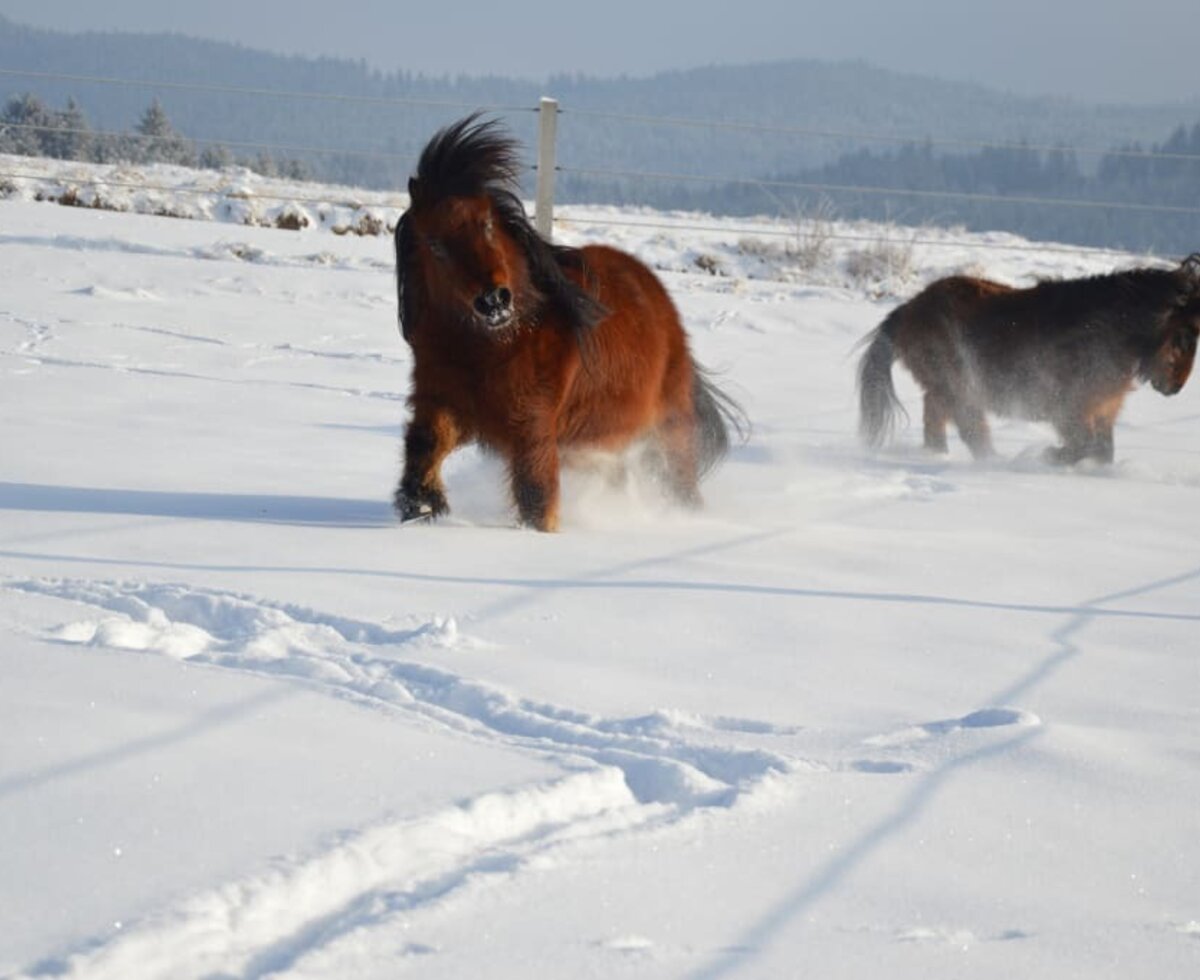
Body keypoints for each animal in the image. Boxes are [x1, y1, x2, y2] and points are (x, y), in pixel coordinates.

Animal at [393, 114, 739, 532]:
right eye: (434, 244)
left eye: (487, 224)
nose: (494, 300)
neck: (493, 345)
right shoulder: (447, 402)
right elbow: (425, 443)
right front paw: (421, 504)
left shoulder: (532, 428)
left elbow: (536, 496)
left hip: (667, 429)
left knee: (679, 481)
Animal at [859, 256, 1195, 463]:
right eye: (1183, 336)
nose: (1176, 386)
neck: (1105, 327)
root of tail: (908, 310)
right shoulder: (1070, 410)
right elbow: (1084, 446)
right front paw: (1048, 456)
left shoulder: (1103, 409)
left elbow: (1102, 452)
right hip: (957, 388)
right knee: (969, 427)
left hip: (945, 389)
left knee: (937, 419)